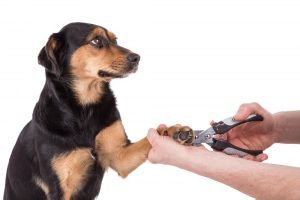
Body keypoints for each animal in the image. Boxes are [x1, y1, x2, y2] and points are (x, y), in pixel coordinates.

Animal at [3, 22, 190, 199]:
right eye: (96, 41)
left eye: (115, 40)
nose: (137, 58)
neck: (85, 109)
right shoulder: (59, 187)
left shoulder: (119, 155)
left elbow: (148, 140)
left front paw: (173, 131)